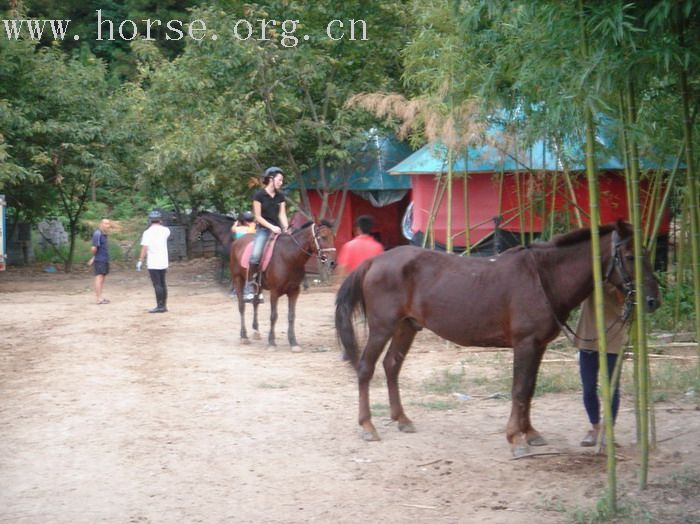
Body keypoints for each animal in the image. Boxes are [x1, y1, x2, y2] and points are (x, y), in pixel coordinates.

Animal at [231, 221, 338, 352]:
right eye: (323, 237)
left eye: (333, 237)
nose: (332, 263)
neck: (289, 257)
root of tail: (237, 242)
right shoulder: (274, 292)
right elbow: (273, 316)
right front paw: (271, 342)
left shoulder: (294, 291)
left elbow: (291, 316)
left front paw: (293, 342)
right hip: (238, 279)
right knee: (242, 306)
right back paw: (244, 336)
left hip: (258, 285)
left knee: (255, 303)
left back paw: (256, 331)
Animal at [336, 219, 660, 456]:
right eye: (630, 256)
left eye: (647, 254)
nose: (653, 301)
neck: (543, 277)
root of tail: (374, 261)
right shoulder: (525, 344)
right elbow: (518, 390)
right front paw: (515, 439)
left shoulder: (539, 347)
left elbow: (528, 390)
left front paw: (531, 433)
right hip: (382, 328)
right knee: (366, 369)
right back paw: (368, 426)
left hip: (406, 327)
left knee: (392, 366)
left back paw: (402, 420)